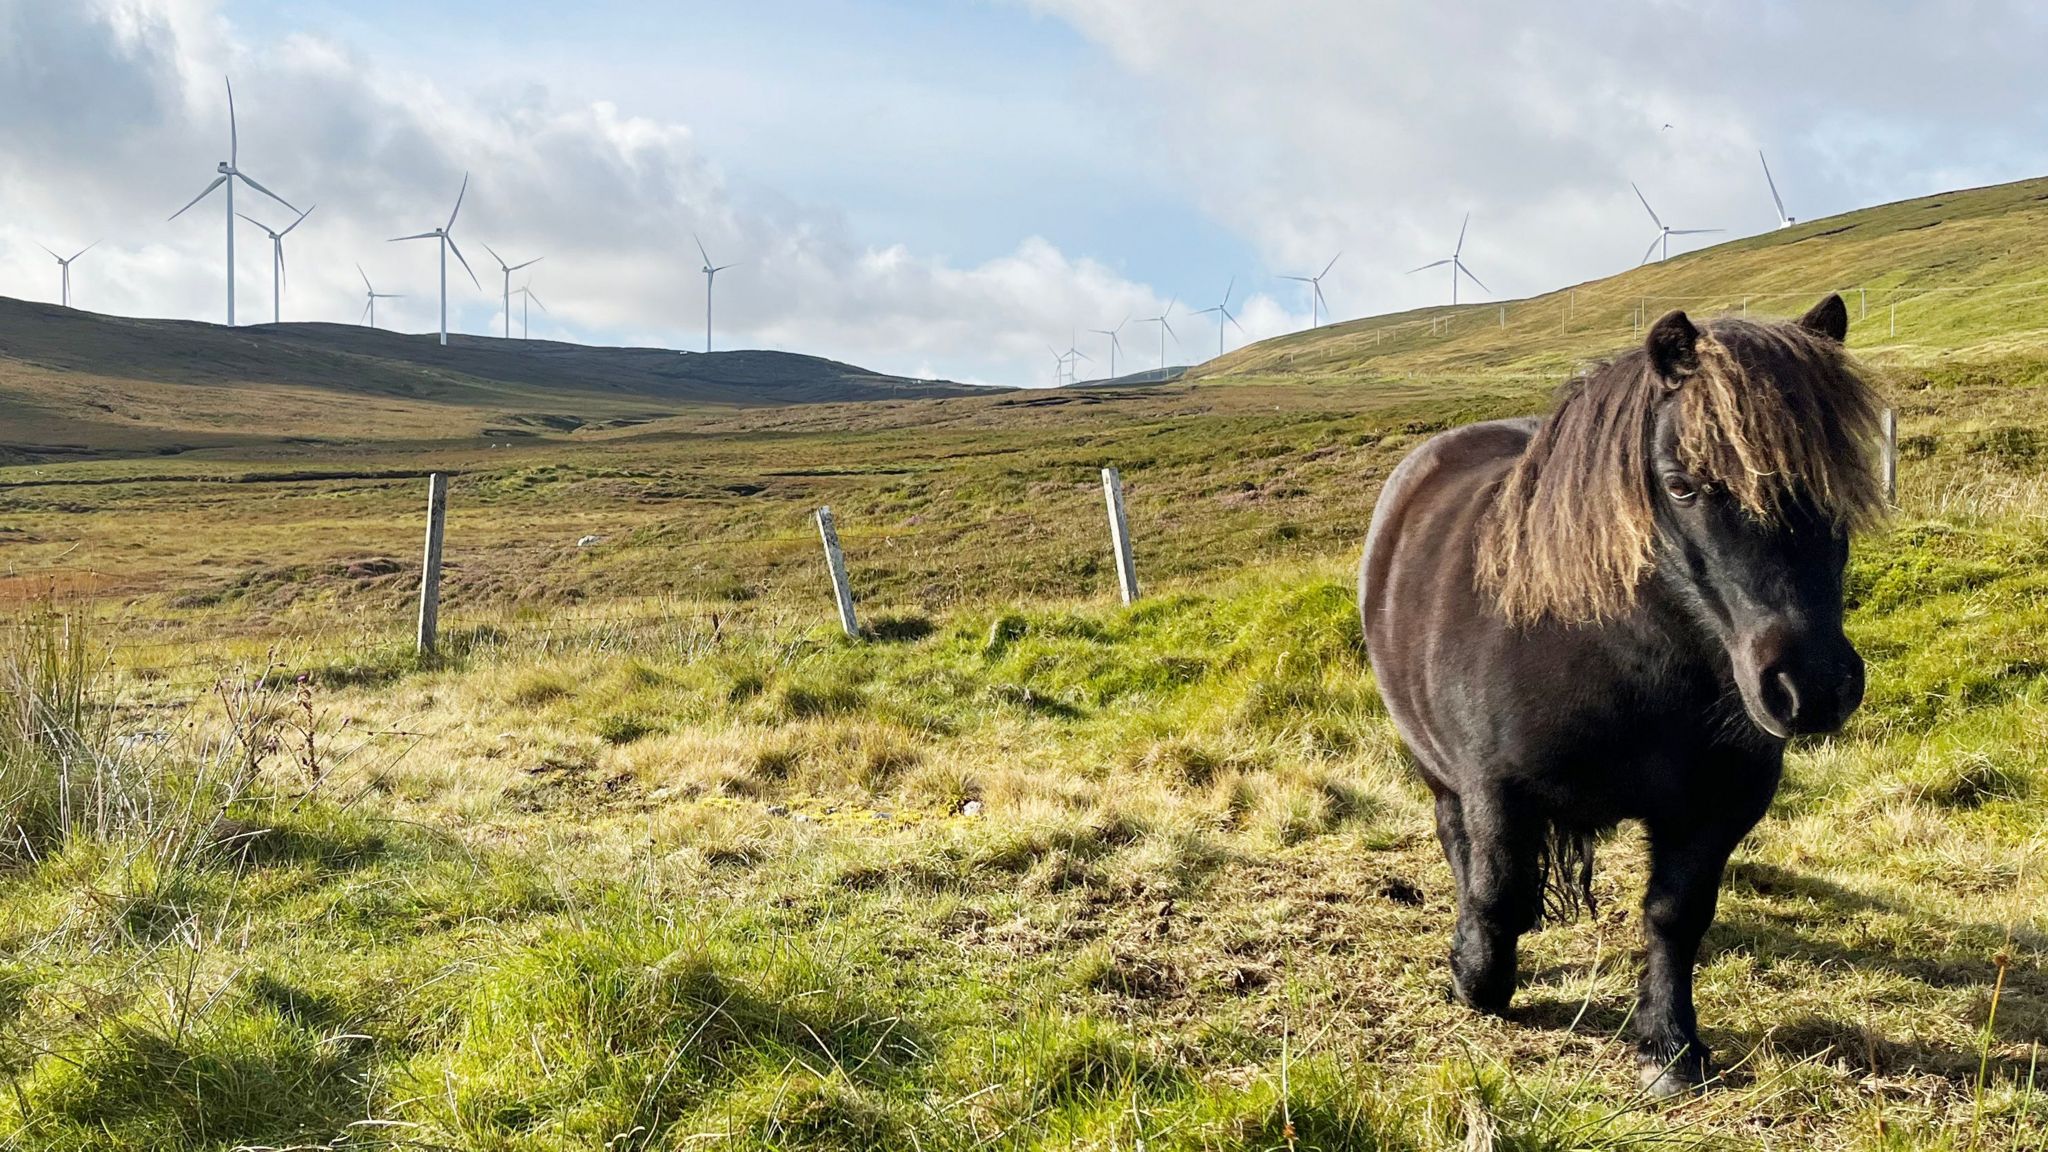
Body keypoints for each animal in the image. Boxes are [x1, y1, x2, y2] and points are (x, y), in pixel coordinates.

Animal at [1359, 291, 1884, 1090]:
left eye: (1837, 482)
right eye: (1682, 485)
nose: (1814, 686)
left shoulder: (1716, 807)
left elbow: (1676, 914)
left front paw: (1668, 1044)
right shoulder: (1496, 791)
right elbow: (1498, 894)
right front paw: (1476, 979)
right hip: (1436, 768)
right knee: (1456, 844)